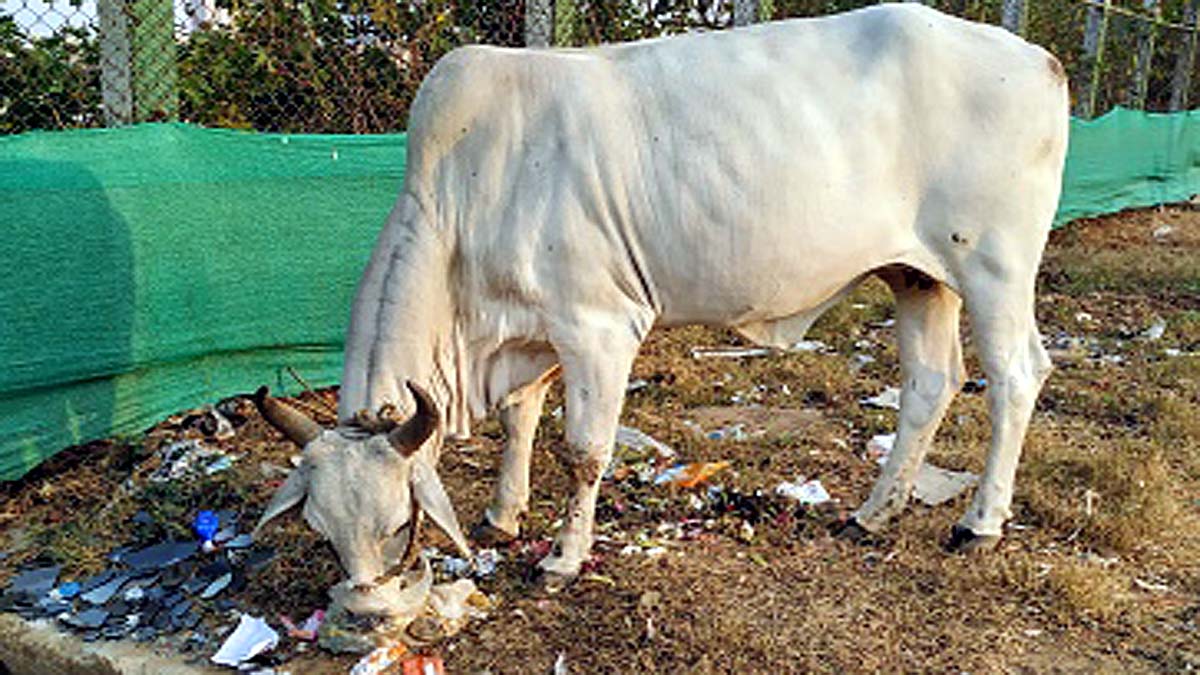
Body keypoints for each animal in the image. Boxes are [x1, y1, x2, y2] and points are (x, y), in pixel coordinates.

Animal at [253, 3, 1068, 612]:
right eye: (322, 532)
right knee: (930, 384)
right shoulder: (532, 332)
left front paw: (561, 558)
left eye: (398, 524)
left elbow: (583, 452)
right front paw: (503, 513)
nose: (366, 610)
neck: (466, 187)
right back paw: (873, 513)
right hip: (918, 276)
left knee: (1016, 376)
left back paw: (979, 523)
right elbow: (520, 420)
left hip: (994, 266)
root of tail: (1041, 59)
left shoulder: (598, 327)